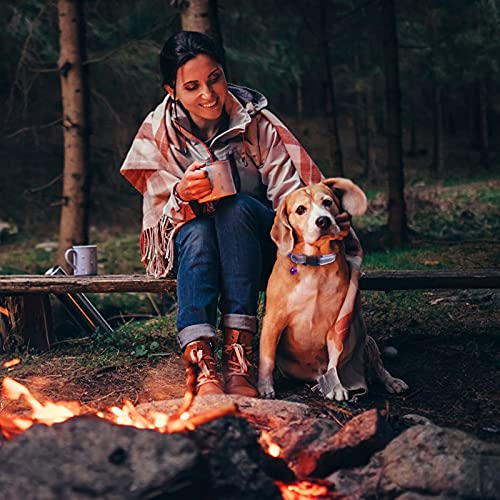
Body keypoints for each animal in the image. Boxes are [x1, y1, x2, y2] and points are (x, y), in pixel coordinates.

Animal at [260, 179, 408, 402]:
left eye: (327, 202)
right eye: (301, 209)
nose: (323, 221)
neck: (314, 264)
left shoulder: (337, 325)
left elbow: (334, 361)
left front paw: (337, 387)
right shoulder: (273, 321)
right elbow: (267, 358)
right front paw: (264, 387)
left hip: (366, 339)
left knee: (379, 366)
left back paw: (391, 381)